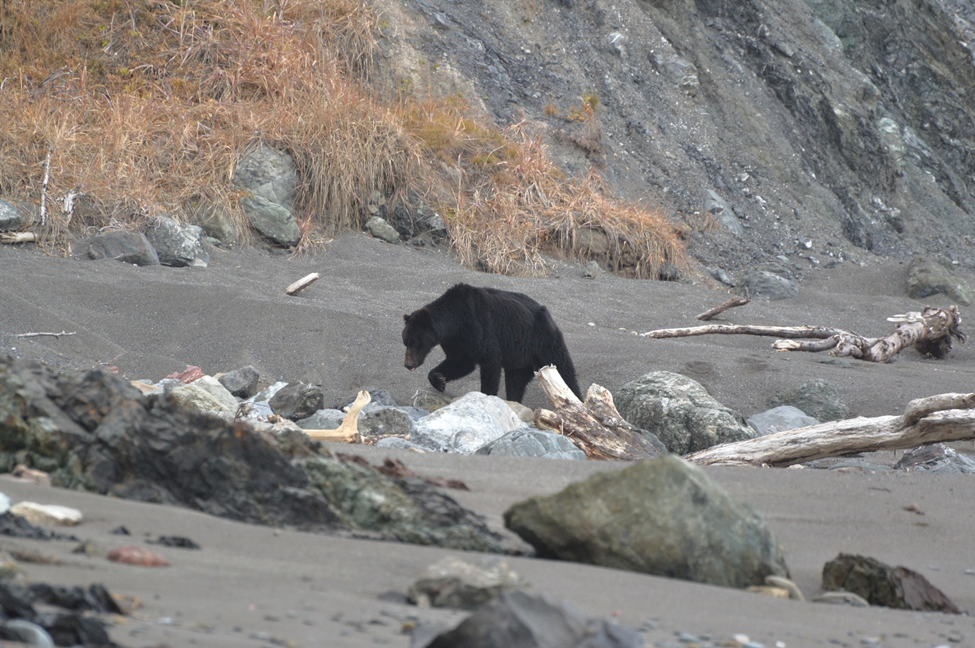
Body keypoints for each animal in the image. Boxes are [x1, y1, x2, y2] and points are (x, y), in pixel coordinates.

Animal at [402, 282, 584, 400]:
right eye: (406, 341)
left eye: (416, 342)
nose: (408, 364)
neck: (456, 320)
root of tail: (549, 316)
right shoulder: (455, 340)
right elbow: (460, 361)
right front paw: (439, 380)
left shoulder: (477, 326)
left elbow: (489, 359)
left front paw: (486, 394)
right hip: (519, 356)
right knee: (516, 380)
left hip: (543, 340)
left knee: (563, 367)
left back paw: (576, 398)